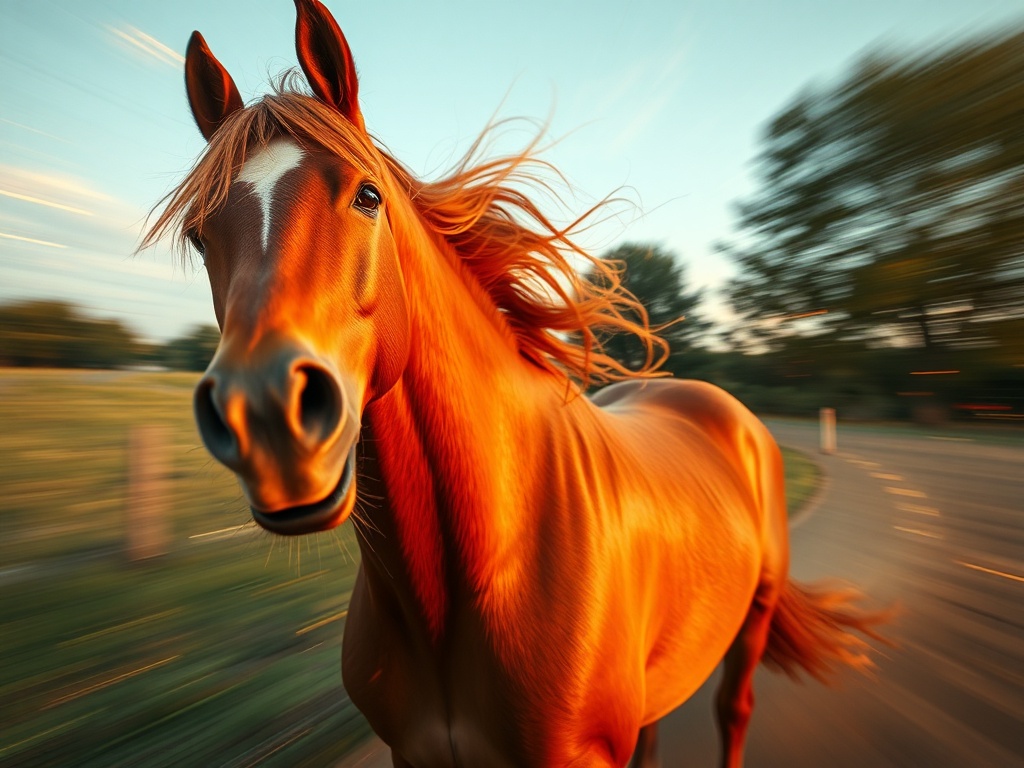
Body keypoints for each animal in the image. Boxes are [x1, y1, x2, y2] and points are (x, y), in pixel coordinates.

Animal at [146, 1, 887, 765]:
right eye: (200, 234)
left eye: (367, 195)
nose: (265, 413)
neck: (479, 577)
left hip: (753, 622)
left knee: (733, 712)